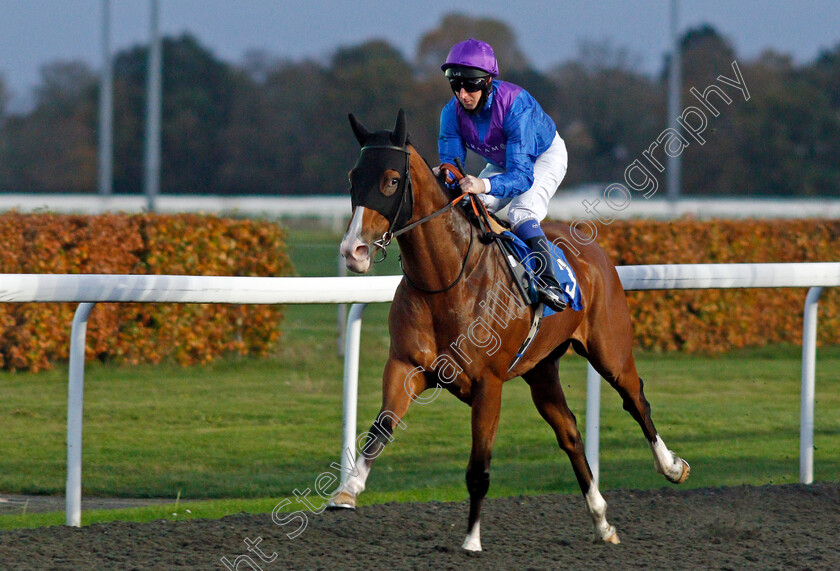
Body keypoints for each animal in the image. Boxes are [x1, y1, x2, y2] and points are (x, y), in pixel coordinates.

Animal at [334, 109, 688, 552]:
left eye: (392, 180)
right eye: (352, 177)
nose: (353, 251)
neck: (447, 280)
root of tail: (593, 247)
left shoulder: (488, 384)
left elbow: (478, 468)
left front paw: (471, 540)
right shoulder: (405, 366)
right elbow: (380, 429)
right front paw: (347, 490)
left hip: (611, 351)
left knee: (636, 400)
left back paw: (671, 466)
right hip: (541, 370)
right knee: (570, 432)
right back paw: (602, 520)